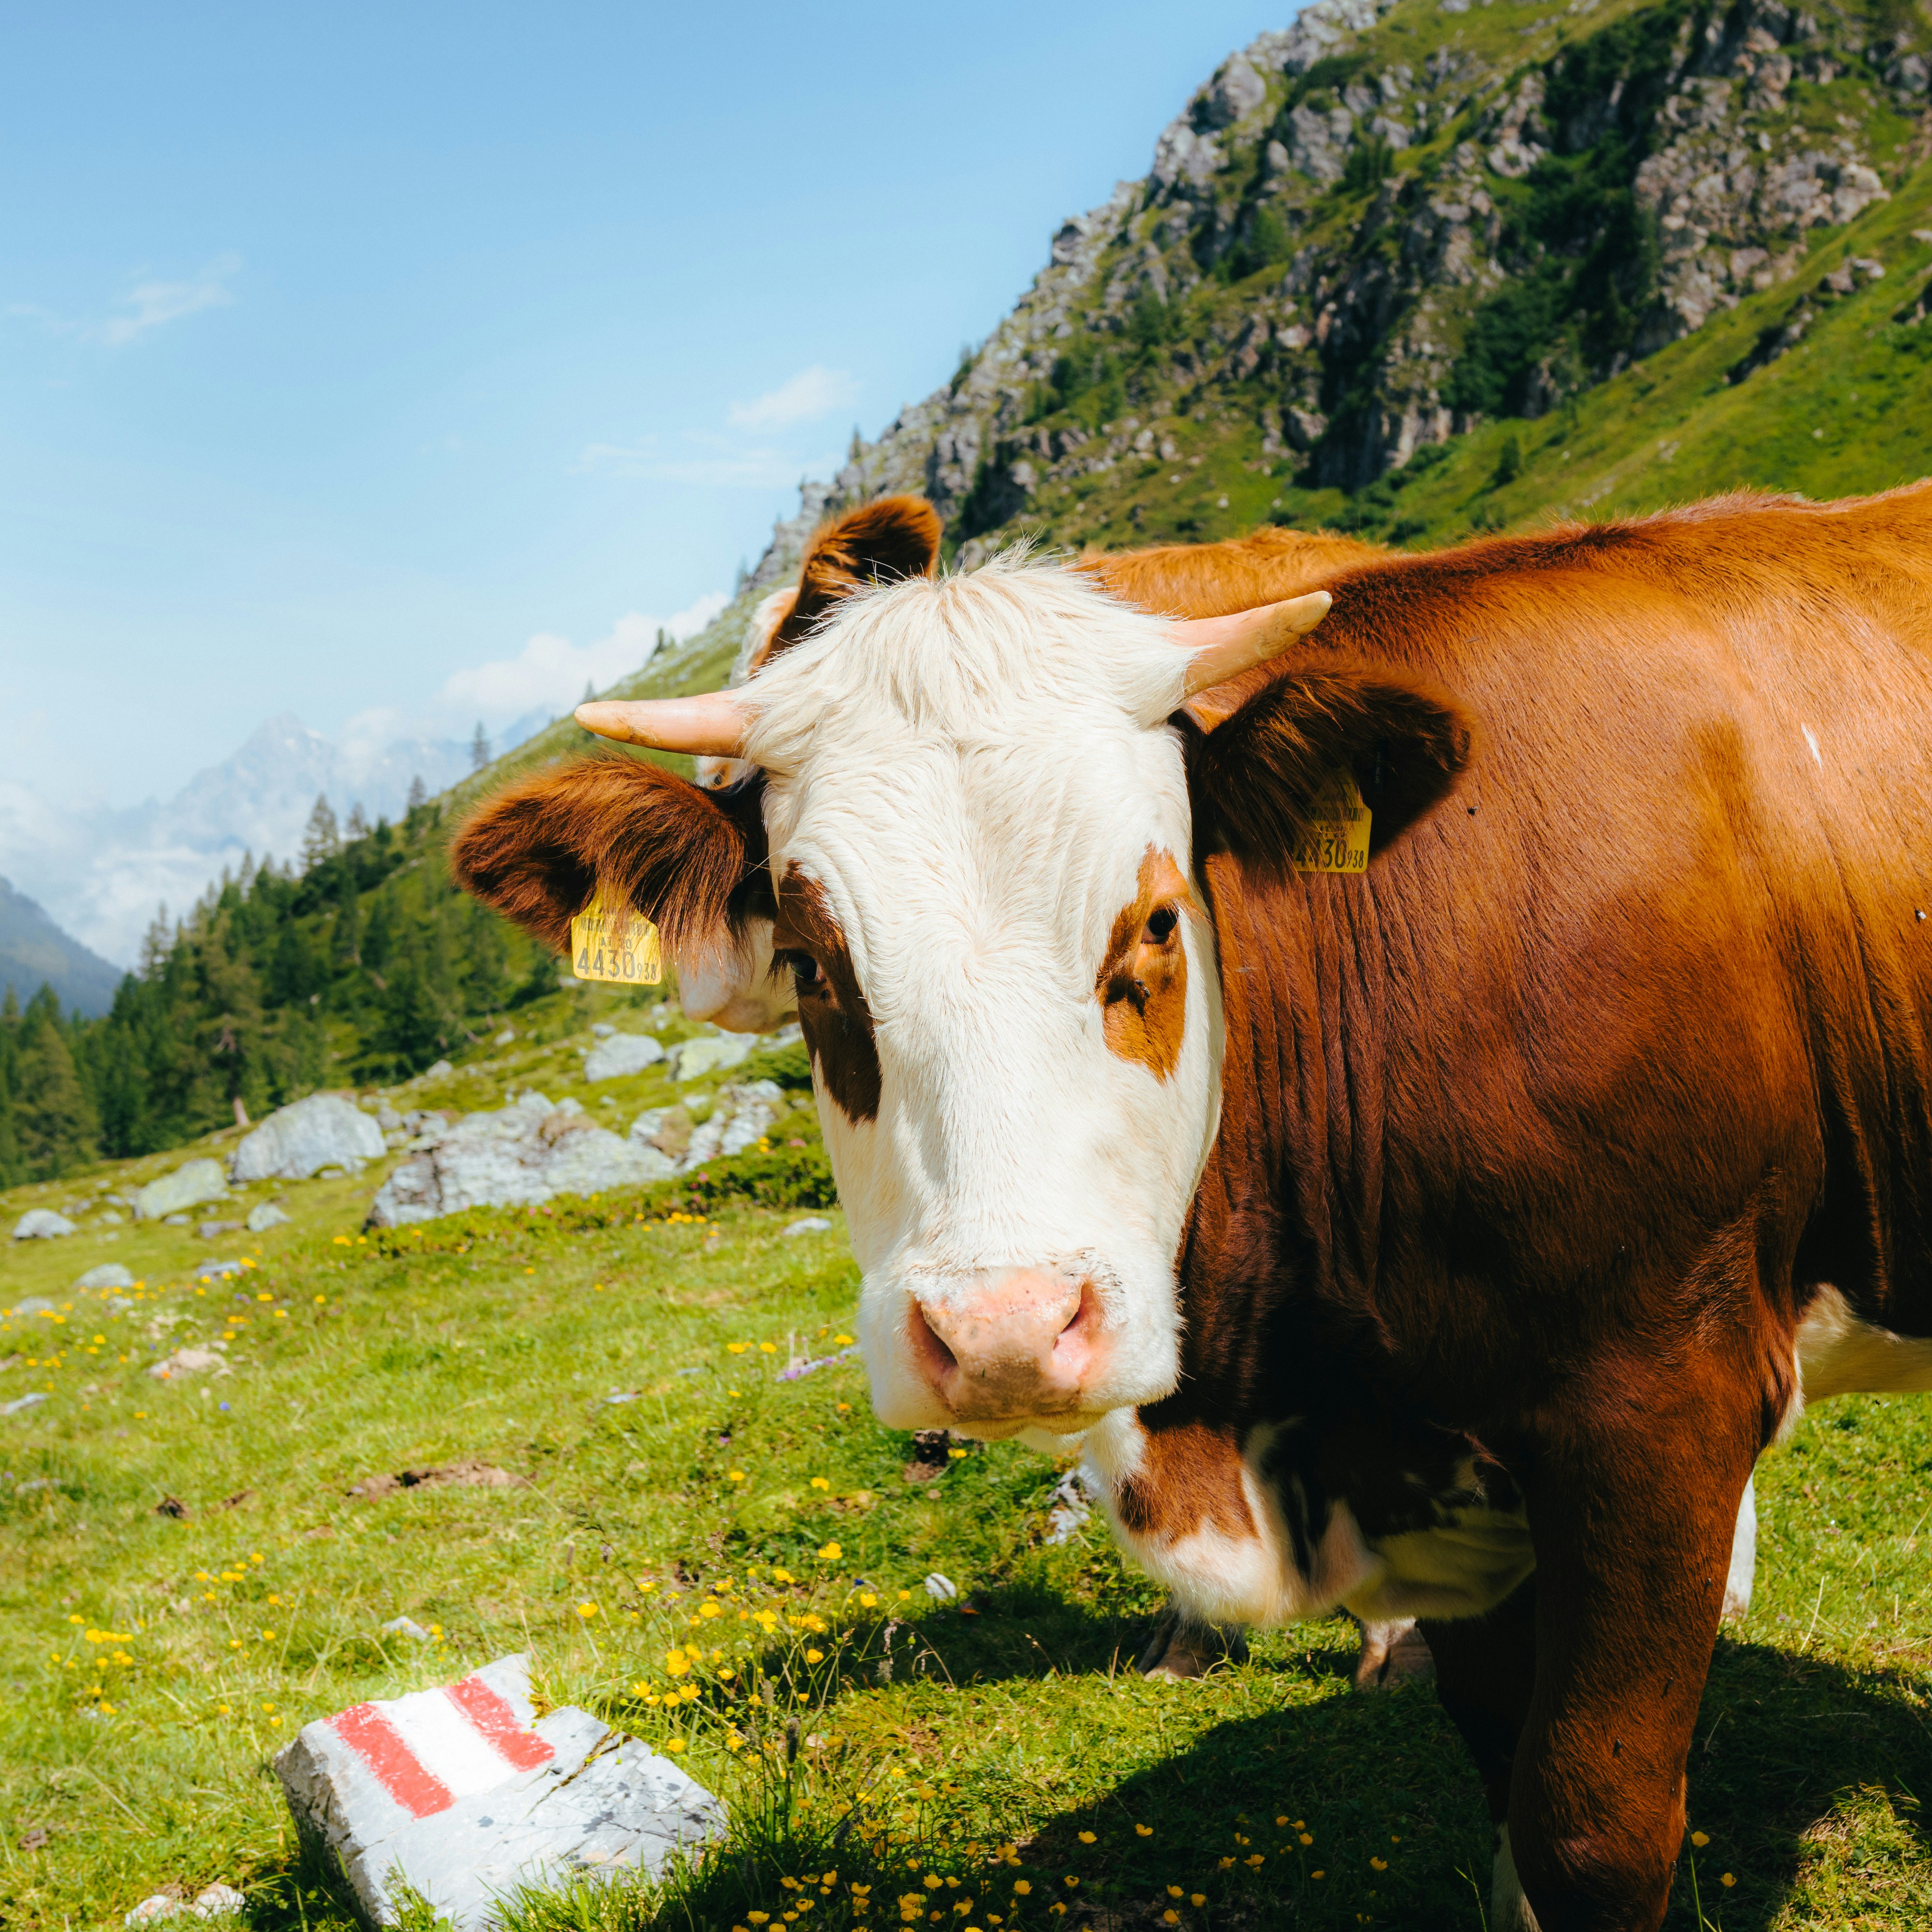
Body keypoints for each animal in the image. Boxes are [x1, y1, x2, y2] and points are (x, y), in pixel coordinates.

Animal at [443, 484, 1932, 1931]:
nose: (1002, 1333)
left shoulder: (1664, 1396)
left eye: (1158, 922)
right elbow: (1507, 1781)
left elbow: (1588, 1835)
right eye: (815, 958)